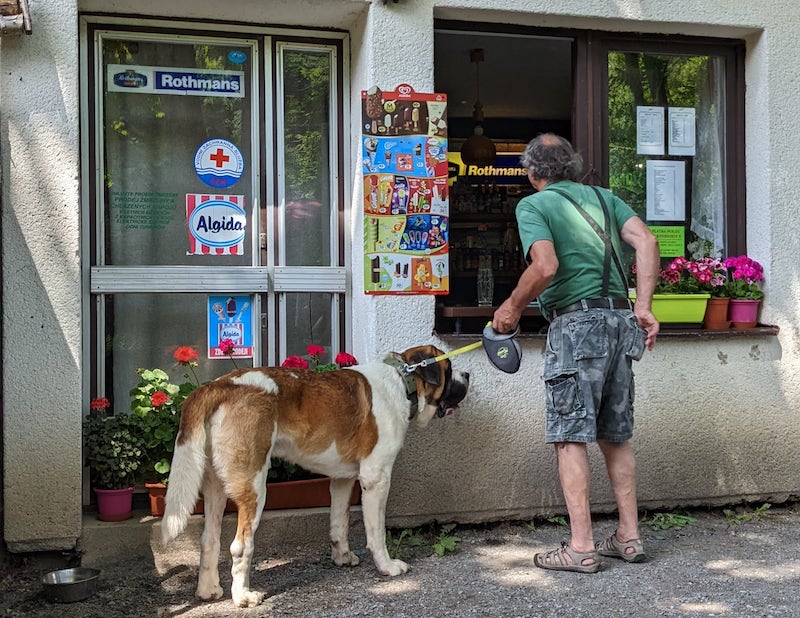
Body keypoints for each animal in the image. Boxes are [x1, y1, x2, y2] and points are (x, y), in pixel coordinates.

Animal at [161, 346, 468, 608]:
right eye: (450, 368)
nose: (467, 375)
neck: (404, 381)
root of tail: (217, 385)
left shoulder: (342, 480)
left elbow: (339, 524)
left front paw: (342, 557)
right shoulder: (376, 479)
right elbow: (376, 532)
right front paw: (387, 567)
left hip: (215, 487)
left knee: (209, 539)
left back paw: (208, 591)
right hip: (254, 487)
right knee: (240, 546)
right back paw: (244, 597)